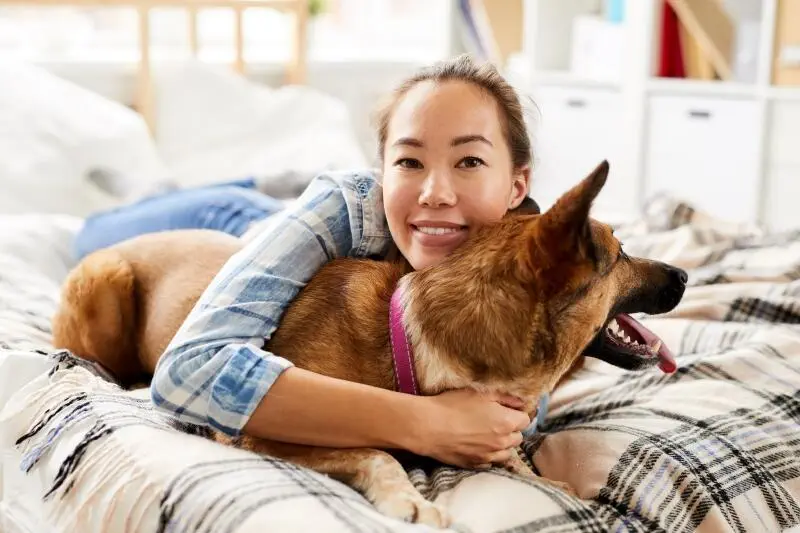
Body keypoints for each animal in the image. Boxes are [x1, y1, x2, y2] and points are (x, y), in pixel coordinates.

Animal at [51, 162, 688, 528]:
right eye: (621, 253)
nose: (684, 276)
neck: (409, 343)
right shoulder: (260, 433)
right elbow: (377, 450)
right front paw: (409, 497)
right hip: (104, 283)